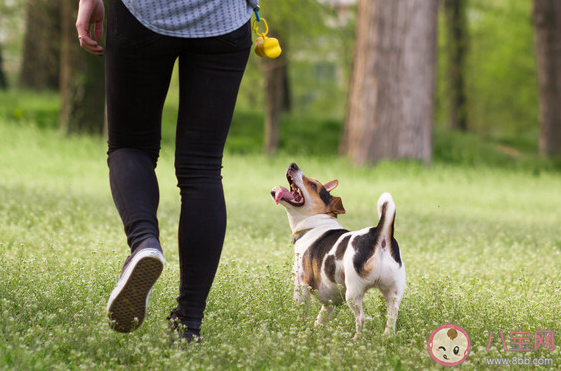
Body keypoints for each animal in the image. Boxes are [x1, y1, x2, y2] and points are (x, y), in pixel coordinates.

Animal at [270, 164, 404, 338]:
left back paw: (356, 339)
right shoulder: (330, 300)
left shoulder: (301, 285)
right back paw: (386, 338)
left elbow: (300, 311)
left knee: (361, 318)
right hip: (393, 293)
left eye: (313, 185)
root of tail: (378, 235)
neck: (314, 225)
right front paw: (314, 331)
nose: (293, 165)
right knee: (391, 317)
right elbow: (321, 318)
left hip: (353, 293)